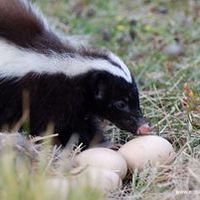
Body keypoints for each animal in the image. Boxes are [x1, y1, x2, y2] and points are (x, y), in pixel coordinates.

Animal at [0, 0, 151, 147]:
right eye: (120, 104)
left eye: (136, 98)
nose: (144, 127)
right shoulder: (46, 97)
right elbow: (69, 127)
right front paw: (104, 144)